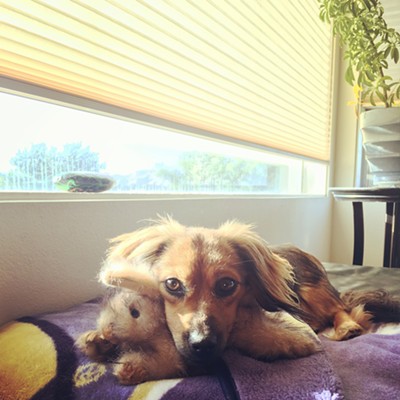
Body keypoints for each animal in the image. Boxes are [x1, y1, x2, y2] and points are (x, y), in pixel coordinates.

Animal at [98, 217, 398, 368]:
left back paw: (346, 326)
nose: (202, 345)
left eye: (227, 285)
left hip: (311, 289)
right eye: (172, 284)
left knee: (340, 308)